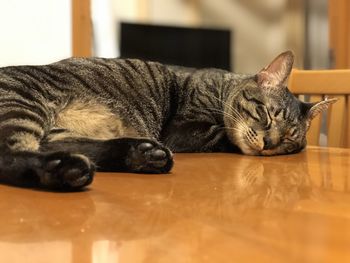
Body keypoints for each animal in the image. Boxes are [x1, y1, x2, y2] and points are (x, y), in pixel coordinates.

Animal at [0, 50, 336, 191]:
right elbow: (223, 135)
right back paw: (64, 170)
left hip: (57, 130)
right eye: (267, 114)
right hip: (22, 104)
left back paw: (143, 155)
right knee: (11, 155)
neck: (221, 86)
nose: (269, 143)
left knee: (60, 146)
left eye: (289, 139)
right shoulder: (185, 129)